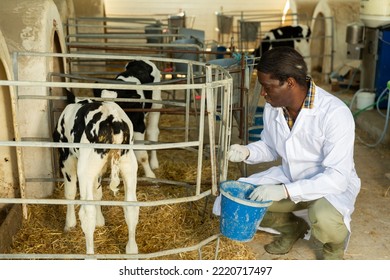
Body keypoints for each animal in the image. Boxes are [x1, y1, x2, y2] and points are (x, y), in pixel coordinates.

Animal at [53, 91, 139, 255]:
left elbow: (70, 193)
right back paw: (132, 250)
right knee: (131, 206)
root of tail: (113, 119)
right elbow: (98, 193)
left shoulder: (66, 159)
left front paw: (69, 224)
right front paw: (101, 221)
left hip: (84, 168)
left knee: (87, 212)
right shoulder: (98, 171)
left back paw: (90, 254)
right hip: (129, 164)